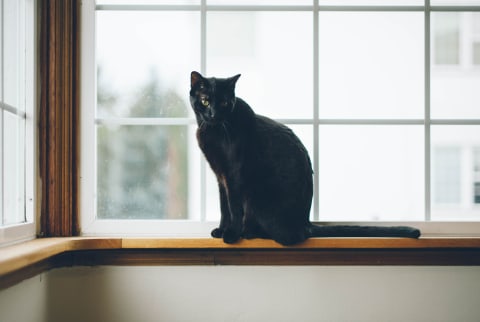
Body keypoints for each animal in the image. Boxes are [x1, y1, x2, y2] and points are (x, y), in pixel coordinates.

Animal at [188, 71, 420, 245]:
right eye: (205, 101)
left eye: (225, 103)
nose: (213, 113)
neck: (213, 129)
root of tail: (305, 222)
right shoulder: (221, 177)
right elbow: (224, 208)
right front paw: (221, 230)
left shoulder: (233, 175)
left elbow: (233, 208)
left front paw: (231, 234)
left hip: (258, 200)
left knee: (290, 237)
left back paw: (249, 232)